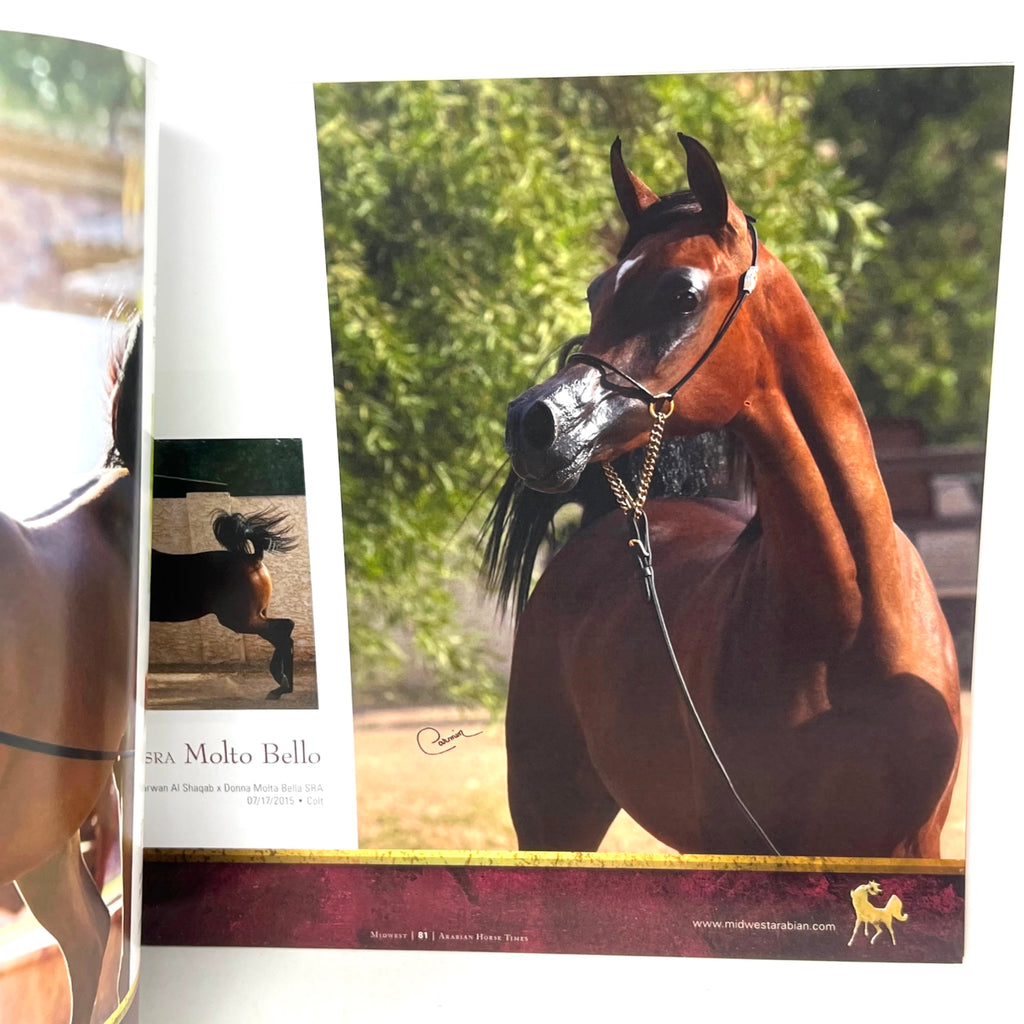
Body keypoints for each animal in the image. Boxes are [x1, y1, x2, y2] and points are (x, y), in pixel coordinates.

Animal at [150, 508, 297, 699]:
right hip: (254, 616)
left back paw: (281, 685)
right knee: (284, 632)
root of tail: (254, 558)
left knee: (284, 630)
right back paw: (283, 685)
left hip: (240, 619)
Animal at [492, 135, 961, 858]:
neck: (846, 628)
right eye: (597, 292)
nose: (533, 423)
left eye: (683, 294)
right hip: (553, 818)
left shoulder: (912, 846)